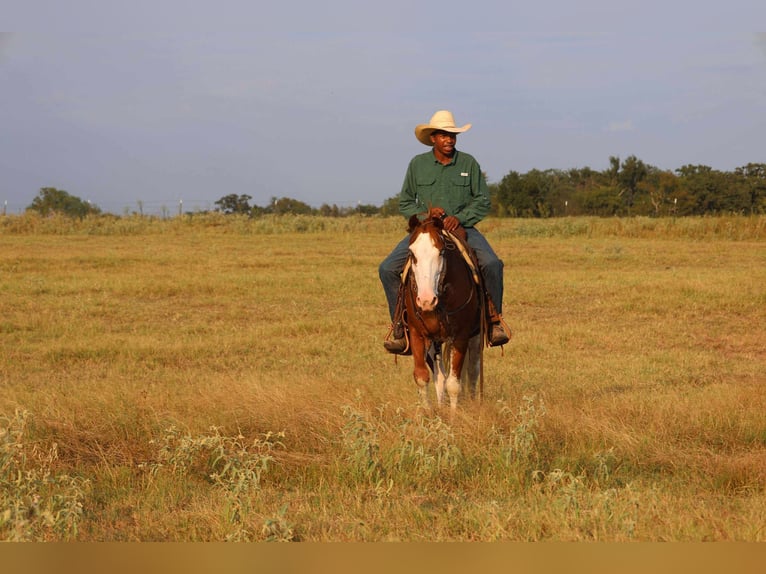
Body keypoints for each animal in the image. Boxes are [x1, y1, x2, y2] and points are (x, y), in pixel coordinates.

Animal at [402, 213, 485, 412]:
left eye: (440, 252)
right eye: (412, 254)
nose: (426, 300)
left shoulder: (461, 336)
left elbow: (454, 384)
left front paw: (454, 416)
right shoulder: (417, 334)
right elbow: (422, 377)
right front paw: (429, 414)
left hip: (474, 337)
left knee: (472, 371)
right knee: (439, 376)